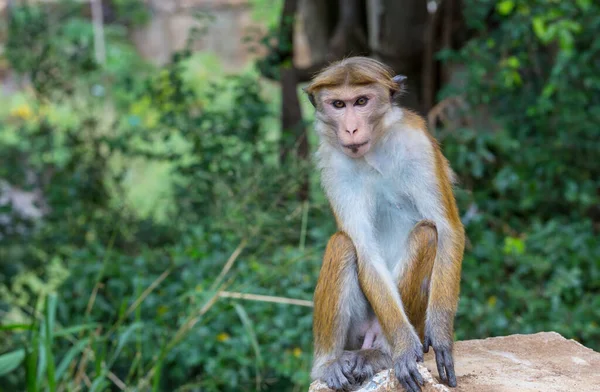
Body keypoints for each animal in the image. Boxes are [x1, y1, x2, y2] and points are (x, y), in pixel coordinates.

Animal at [304, 56, 464, 392]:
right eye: (339, 104)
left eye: (361, 101)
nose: (351, 128)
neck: (374, 149)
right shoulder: (334, 163)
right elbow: (364, 249)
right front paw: (404, 346)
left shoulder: (417, 144)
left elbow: (447, 229)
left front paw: (441, 335)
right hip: (355, 331)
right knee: (342, 243)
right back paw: (328, 364)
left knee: (427, 233)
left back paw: (382, 353)